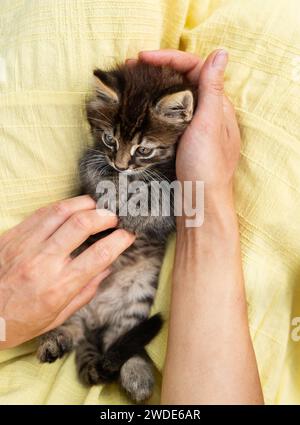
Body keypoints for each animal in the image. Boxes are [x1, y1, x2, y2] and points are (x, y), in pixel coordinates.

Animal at [37, 60, 197, 400]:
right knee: (73, 329)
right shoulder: (94, 157)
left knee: (120, 341)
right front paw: (110, 191)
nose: (121, 166)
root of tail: (94, 318)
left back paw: (137, 374)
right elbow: (91, 165)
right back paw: (53, 341)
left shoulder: (179, 187)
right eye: (110, 139)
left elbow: (158, 198)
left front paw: (135, 213)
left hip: (137, 297)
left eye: (144, 150)